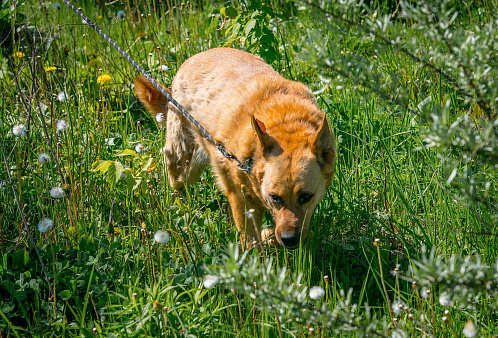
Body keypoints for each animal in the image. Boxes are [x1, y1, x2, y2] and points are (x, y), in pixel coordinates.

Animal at [134, 46, 334, 248]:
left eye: (306, 197)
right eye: (275, 197)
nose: (289, 240)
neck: (285, 120)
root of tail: (195, 57)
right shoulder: (241, 198)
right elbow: (252, 243)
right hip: (185, 166)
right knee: (176, 185)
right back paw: (177, 208)